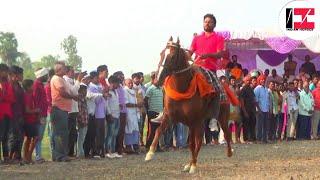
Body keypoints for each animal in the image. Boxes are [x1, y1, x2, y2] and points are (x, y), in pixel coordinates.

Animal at [145, 39, 232, 173]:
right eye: (161, 54)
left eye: (172, 56)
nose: (157, 79)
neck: (181, 90)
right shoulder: (170, 116)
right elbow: (159, 130)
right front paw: (150, 153)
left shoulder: (194, 120)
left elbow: (194, 143)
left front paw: (194, 166)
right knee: (196, 142)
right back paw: (190, 164)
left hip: (220, 117)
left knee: (224, 134)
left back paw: (228, 152)